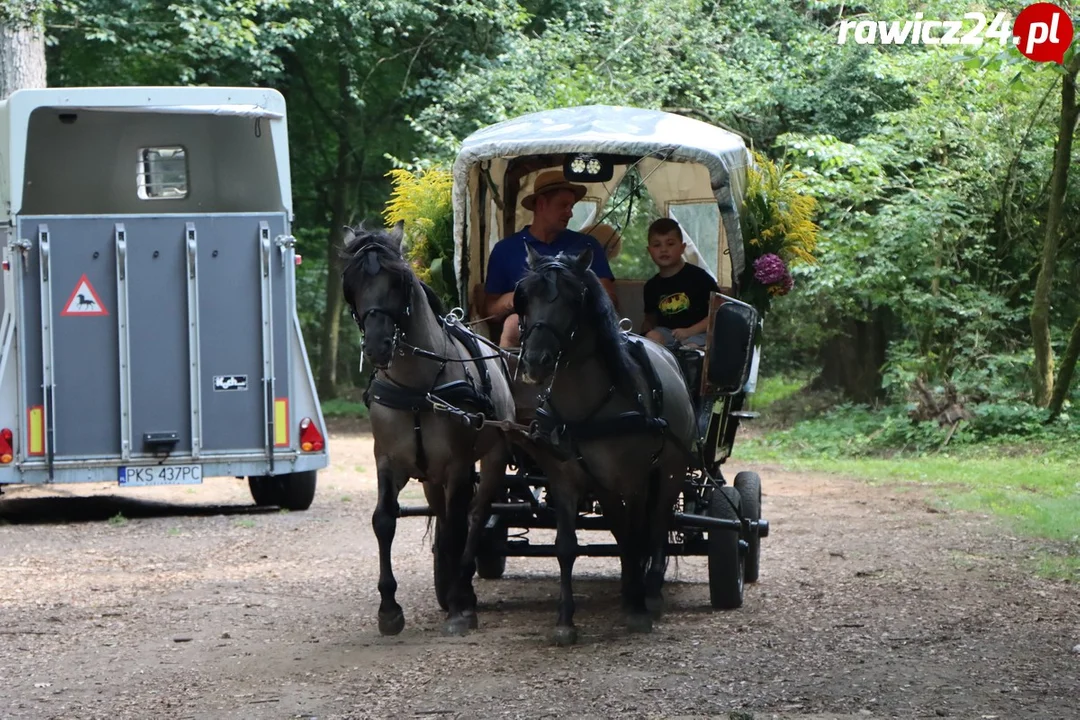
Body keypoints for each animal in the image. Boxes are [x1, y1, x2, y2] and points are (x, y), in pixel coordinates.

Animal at [343, 221, 516, 634]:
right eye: (352, 283)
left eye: (398, 281)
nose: (377, 346)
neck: (418, 389)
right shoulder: (388, 460)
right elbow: (384, 521)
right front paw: (389, 608)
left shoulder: (458, 465)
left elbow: (457, 528)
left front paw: (460, 605)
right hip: (431, 478)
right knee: (445, 516)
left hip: (492, 457)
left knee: (475, 515)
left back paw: (462, 587)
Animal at [483, 245, 695, 643]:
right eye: (524, 297)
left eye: (572, 298)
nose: (535, 361)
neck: (586, 408)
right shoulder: (564, 480)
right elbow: (567, 547)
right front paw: (565, 620)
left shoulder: (635, 480)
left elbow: (639, 536)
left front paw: (638, 608)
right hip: (607, 486)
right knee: (624, 530)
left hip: (670, 471)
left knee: (657, 524)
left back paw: (650, 591)